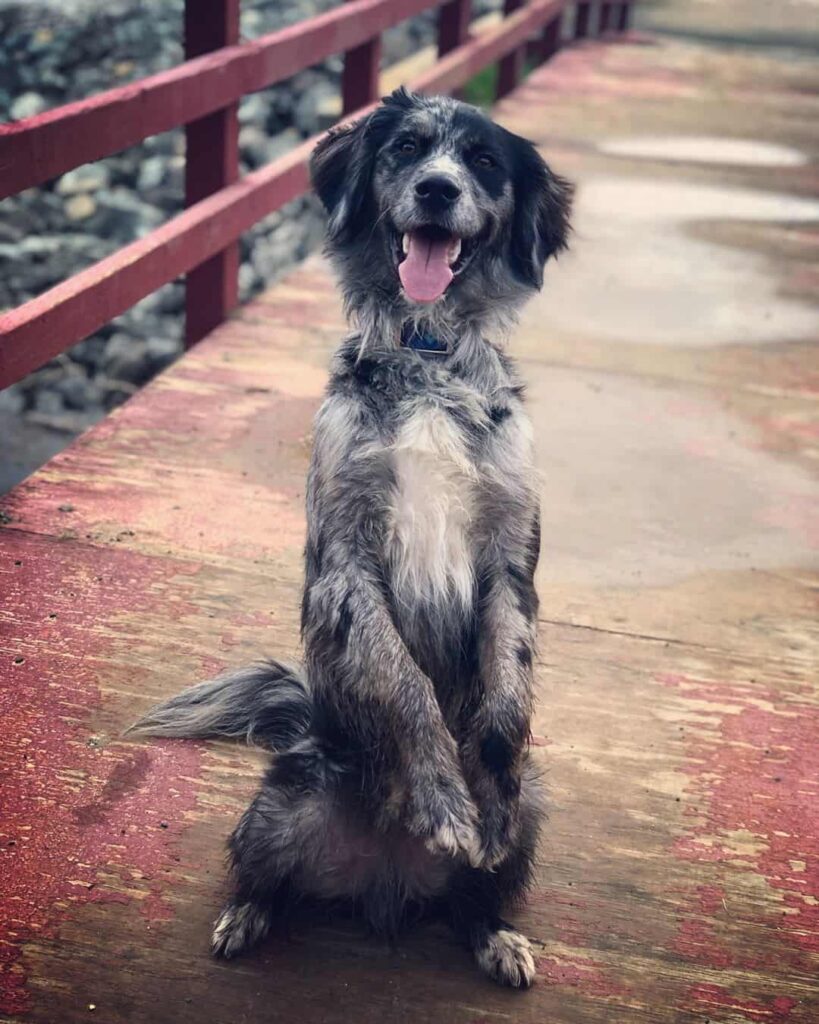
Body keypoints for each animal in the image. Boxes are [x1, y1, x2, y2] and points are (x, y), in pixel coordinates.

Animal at [131, 90, 573, 991]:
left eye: (482, 162)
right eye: (406, 148)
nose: (437, 188)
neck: (427, 351)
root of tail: (385, 884)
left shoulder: (510, 561)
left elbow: (503, 699)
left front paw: (481, 802)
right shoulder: (347, 566)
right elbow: (406, 686)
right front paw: (442, 799)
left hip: (537, 812)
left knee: (475, 897)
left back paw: (496, 935)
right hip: (280, 804)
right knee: (263, 875)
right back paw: (247, 916)